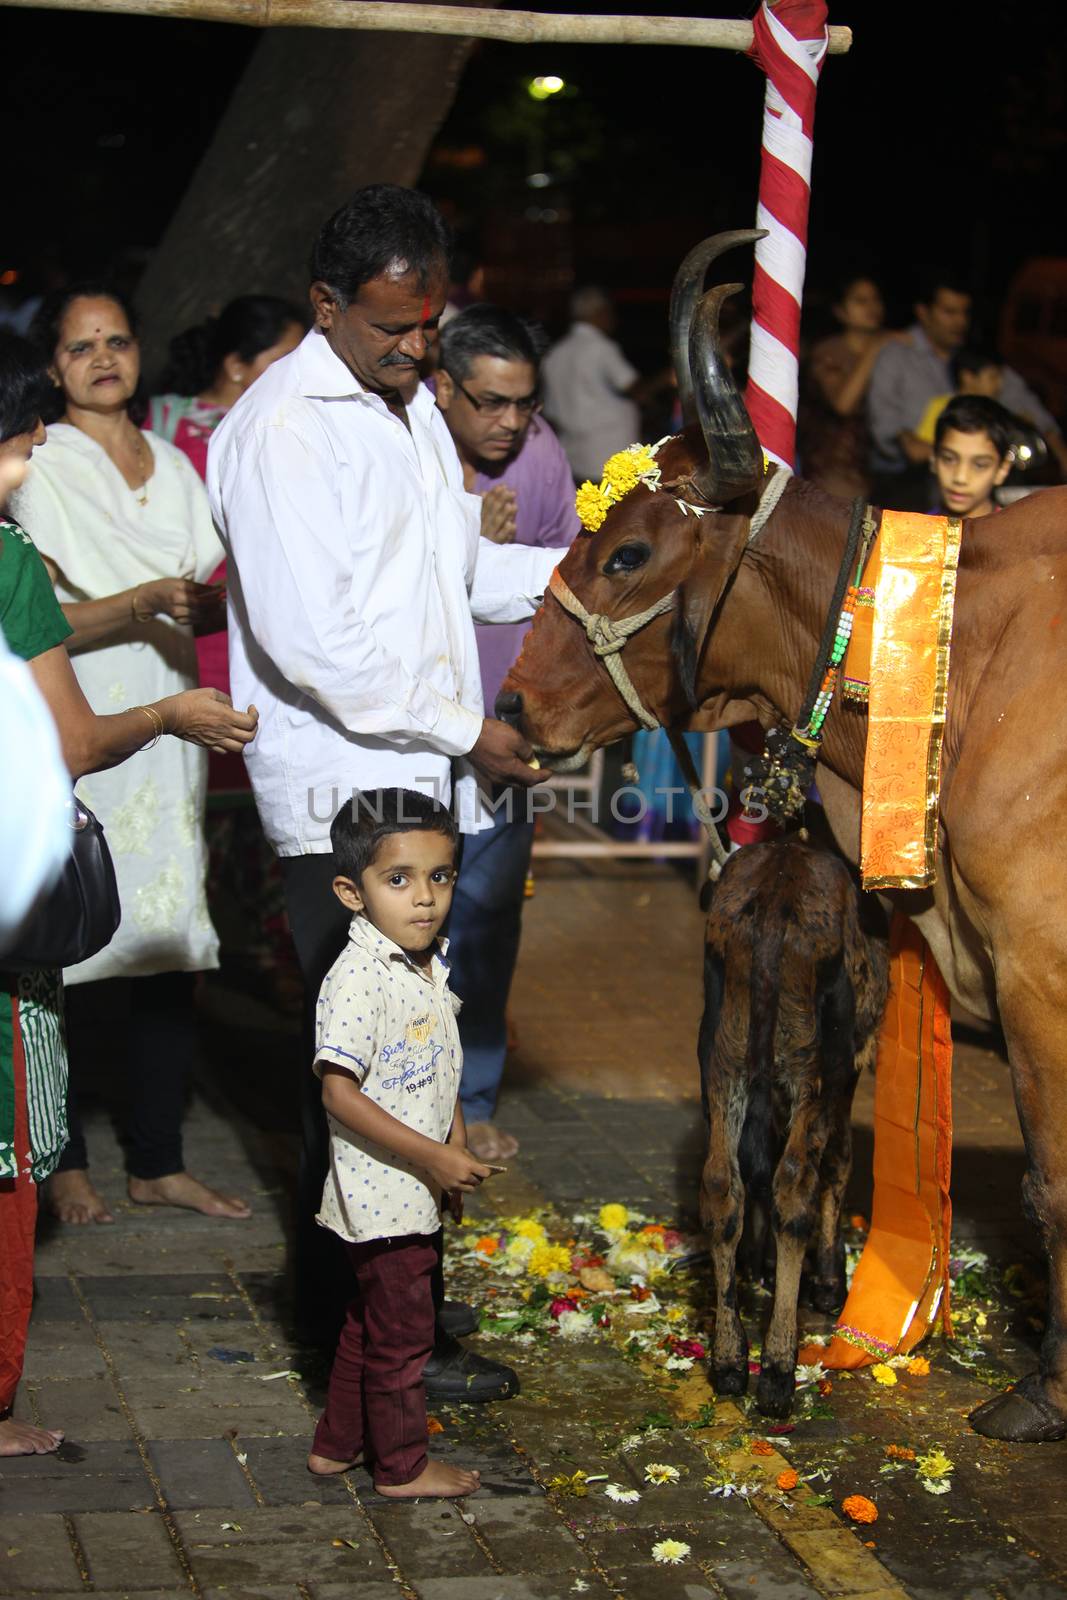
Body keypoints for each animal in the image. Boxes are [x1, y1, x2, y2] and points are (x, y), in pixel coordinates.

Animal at [697, 838, 889, 1414]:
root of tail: (776, 899)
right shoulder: (847, 1069)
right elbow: (839, 1164)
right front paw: (828, 1279)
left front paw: (757, 1263)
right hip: (811, 1065)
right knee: (796, 1183)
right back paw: (779, 1367)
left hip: (725, 1056)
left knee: (723, 1183)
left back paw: (730, 1360)